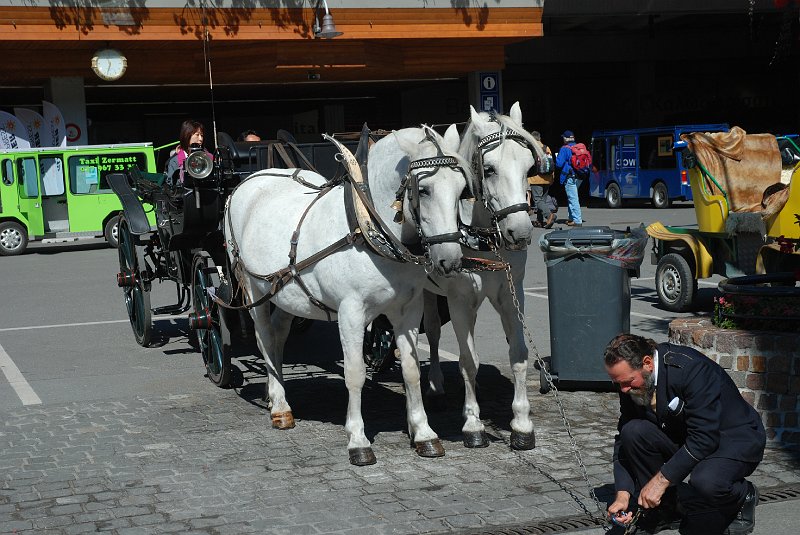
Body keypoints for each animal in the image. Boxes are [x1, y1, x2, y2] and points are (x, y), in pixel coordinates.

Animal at [225, 124, 468, 464]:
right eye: (424, 190)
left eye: (462, 189)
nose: (451, 260)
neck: (367, 227)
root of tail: (248, 181)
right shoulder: (350, 312)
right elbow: (354, 373)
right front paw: (358, 440)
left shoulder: (409, 309)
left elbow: (410, 371)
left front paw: (423, 433)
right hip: (253, 286)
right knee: (264, 338)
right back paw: (280, 406)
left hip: (284, 290)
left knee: (278, 335)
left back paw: (278, 395)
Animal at [418, 102, 544, 450]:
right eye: (488, 170)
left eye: (529, 168)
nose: (521, 233)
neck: (484, 239)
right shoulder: (461, 302)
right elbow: (468, 361)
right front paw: (473, 424)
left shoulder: (511, 295)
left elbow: (518, 354)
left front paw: (522, 424)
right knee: (433, 331)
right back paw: (435, 386)